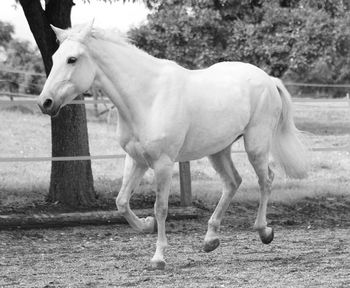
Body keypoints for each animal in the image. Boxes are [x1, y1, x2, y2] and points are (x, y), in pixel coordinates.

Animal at [37, 22, 308, 270]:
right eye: (54, 57)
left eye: (72, 59)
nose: (45, 102)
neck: (147, 97)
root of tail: (268, 79)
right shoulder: (136, 160)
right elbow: (122, 202)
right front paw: (146, 224)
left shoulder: (163, 164)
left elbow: (161, 208)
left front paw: (158, 257)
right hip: (219, 150)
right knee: (233, 182)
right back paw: (210, 239)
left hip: (255, 145)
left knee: (266, 180)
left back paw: (264, 231)